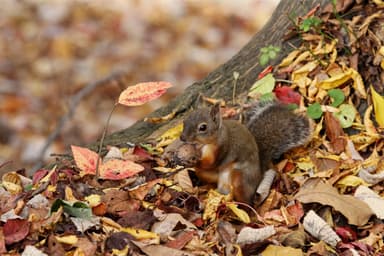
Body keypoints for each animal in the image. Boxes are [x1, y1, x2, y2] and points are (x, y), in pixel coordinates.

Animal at [180, 100, 312, 204]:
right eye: (184, 121)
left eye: (203, 127)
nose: (182, 138)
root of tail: (259, 175)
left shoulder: (222, 148)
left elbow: (211, 162)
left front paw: (192, 161)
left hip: (240, 178)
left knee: (247, 201)